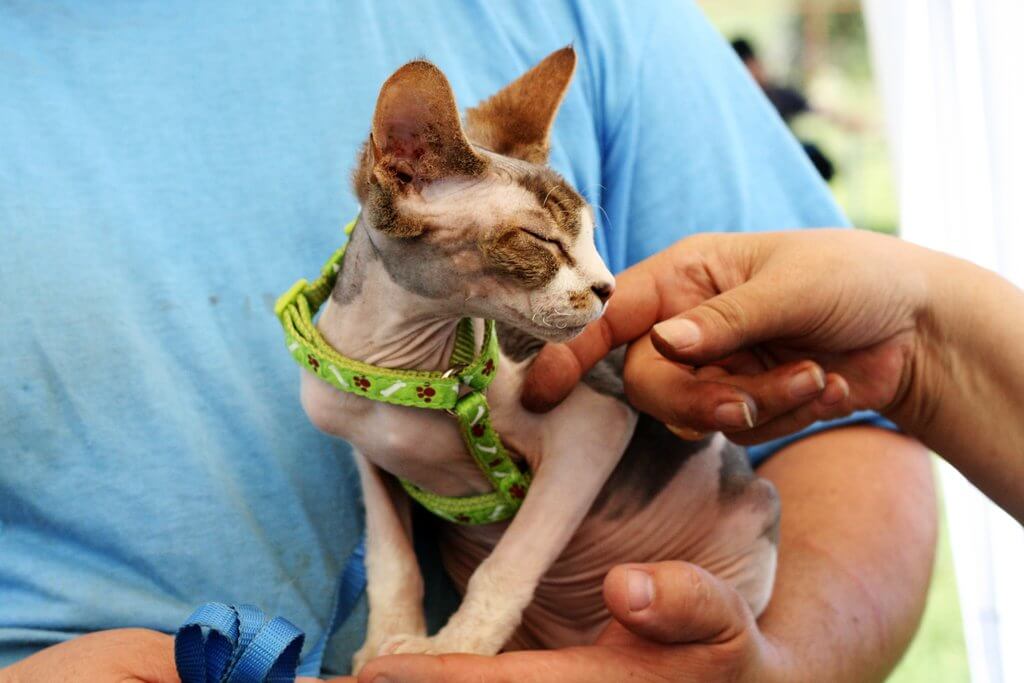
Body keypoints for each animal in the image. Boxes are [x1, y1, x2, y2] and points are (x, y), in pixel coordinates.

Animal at [297, 46, 779, 672]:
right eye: (542, 241)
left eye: (593, 239)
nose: (609, 288)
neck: (406, 369)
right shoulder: (368, 454)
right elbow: (392, 561)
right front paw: (383, 645)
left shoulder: (596, 422)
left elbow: (509, 564)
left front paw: (452, 651)